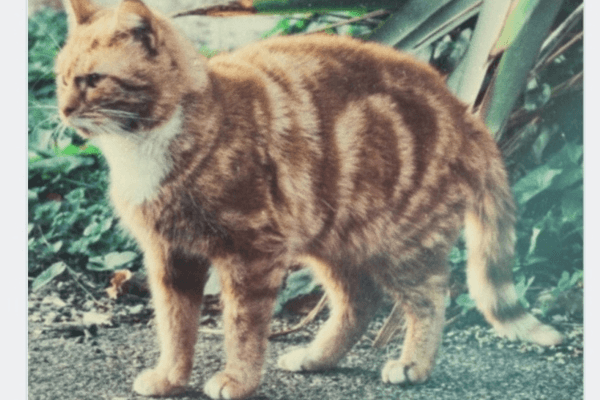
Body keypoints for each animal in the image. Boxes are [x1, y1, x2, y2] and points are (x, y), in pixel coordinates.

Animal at [55, 0, 564, 400]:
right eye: (60, 79)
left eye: (93, 79)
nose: (63, 111)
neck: (144, 146)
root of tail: (464, 111)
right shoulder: (171, 256)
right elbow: (176, 325)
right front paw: (170, 378)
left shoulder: (251, 252)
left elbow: (241, 327)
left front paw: (238, 380)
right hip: (334, 240)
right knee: (361, 302)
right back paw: (318, 357)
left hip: (401, 244)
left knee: (430, 298)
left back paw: (413, 365)